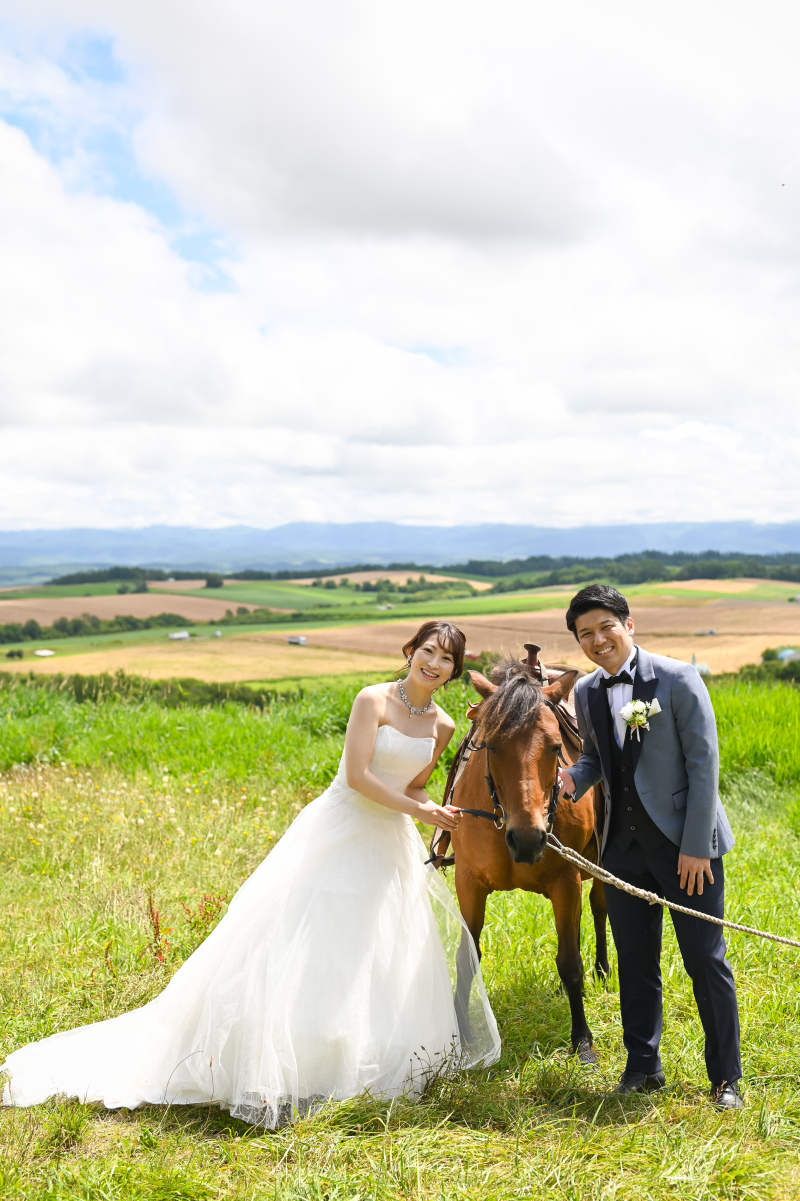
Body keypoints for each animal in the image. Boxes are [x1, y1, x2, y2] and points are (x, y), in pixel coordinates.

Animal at [444, 658, 607, 1061]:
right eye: (492, 746)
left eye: (555, 747)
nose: (528, 839)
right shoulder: (468, 883)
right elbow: (466, 958)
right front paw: (464, 1040)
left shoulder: (566, 879)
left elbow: (570, 961)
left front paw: (582, 1040)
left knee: (599, 908)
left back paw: (602, 970)